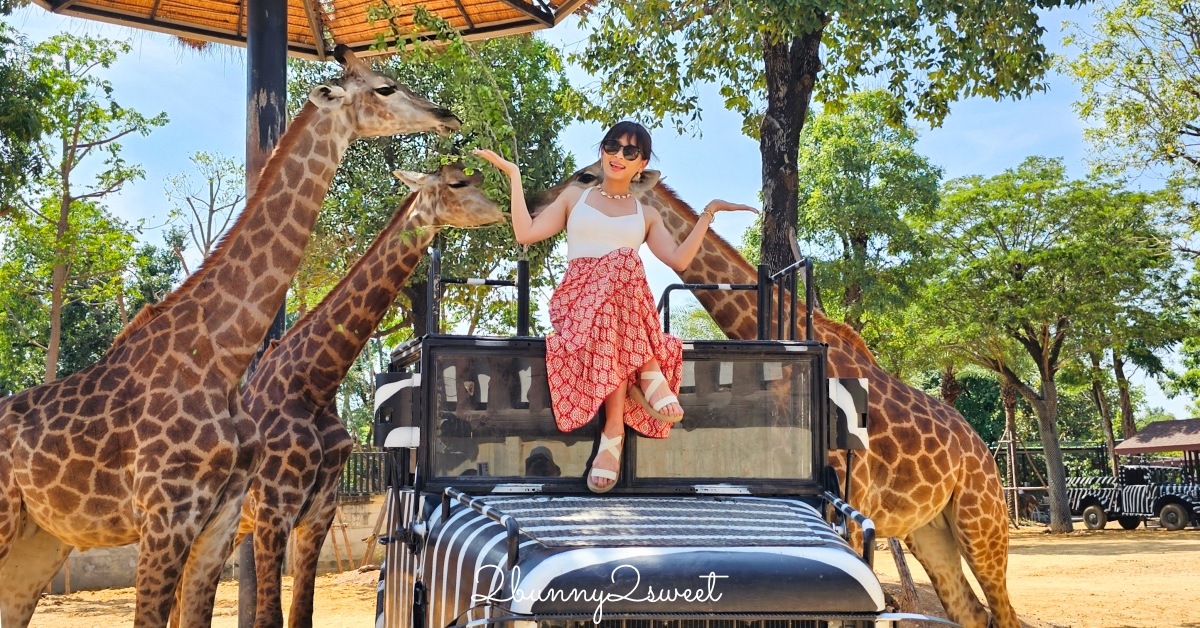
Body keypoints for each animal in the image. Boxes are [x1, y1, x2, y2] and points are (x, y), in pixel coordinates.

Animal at [0, 48, 460, 628]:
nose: (447, 115)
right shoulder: (179, 517)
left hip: (42, 538)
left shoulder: (238, 519)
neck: (219, 360)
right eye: (385, 87)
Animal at [225, 163, 501, 628]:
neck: (314, 383)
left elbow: (302, 613)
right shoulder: (273, 513)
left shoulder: (318, 514)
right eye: (457, 183)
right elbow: (269, 618)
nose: (502, 211)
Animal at [535, 163, 1022, 628]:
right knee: (971, 612)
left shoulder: (850, 500)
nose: (541, 202)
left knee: (1003, 612)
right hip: (929, 530)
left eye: (586, 175)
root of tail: (983, 451)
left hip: (982, 521)